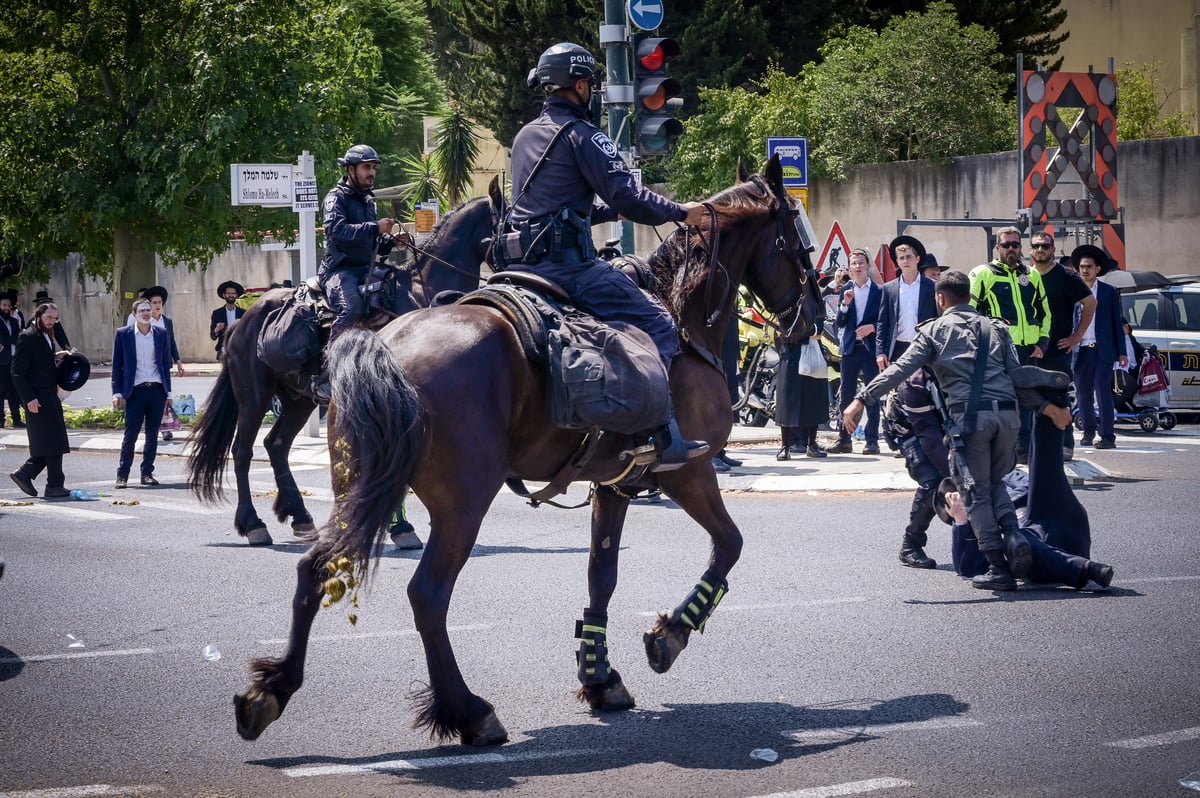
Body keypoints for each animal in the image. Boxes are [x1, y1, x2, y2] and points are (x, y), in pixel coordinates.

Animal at [189, 186, 499, 544]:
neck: (423, 295)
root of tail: (242, 322)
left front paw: (398, 526)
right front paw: (400, 527)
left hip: (298, 399)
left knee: (276, 445)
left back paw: (300, 517)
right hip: (254, 396)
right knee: (242, 451)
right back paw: (254, 524)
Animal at [229, 157, 820, 748]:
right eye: (799, 240)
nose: (813, 315)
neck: (680, 315)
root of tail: (384, 345)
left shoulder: (615, 484)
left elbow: (602, 573)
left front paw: (600, 676)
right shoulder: (688, 471)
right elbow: (729, 545)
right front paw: (671, 633)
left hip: (354, 476)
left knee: (313, 558)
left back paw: (274, 683)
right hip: (457, 499)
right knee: (425, 592)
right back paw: (467, 709)